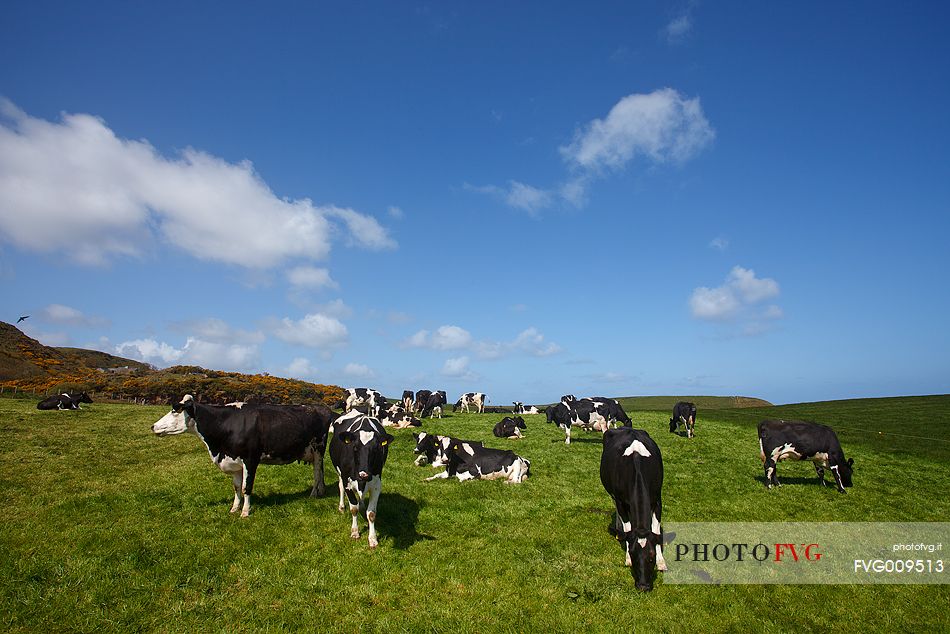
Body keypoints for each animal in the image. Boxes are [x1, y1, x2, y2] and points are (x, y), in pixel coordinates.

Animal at [152, 398, 334, 516]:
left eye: (175, 412)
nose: (153, 426)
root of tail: (321, 407)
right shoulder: (234, 462)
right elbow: (237, 487)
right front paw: (234, 508)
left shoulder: (250, 459)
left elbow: (247, 487)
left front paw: (245, 511)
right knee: (321, 471)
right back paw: (321, 491)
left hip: (318, 449)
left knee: (317, 473)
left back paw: (314, 493)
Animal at [328, 412, 394, 544]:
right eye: (355, 448)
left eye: (376, 449)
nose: (364, 474)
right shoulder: (347, 481)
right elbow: (354, 508)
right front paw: (355, 532)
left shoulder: (376, 485)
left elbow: (371, 513)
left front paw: (373, 538)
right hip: (339, 473)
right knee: (340, 487)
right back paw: (342, 507)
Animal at [604, 424, 668, 588]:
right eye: (633, 556)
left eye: (651, 556)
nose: (643, 586)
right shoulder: (620, 500)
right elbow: (628, 529)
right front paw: (626, 556)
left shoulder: (657, 500)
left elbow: (655, 531)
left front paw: (661, 561)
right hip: (612, 494)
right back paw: (618, 529)